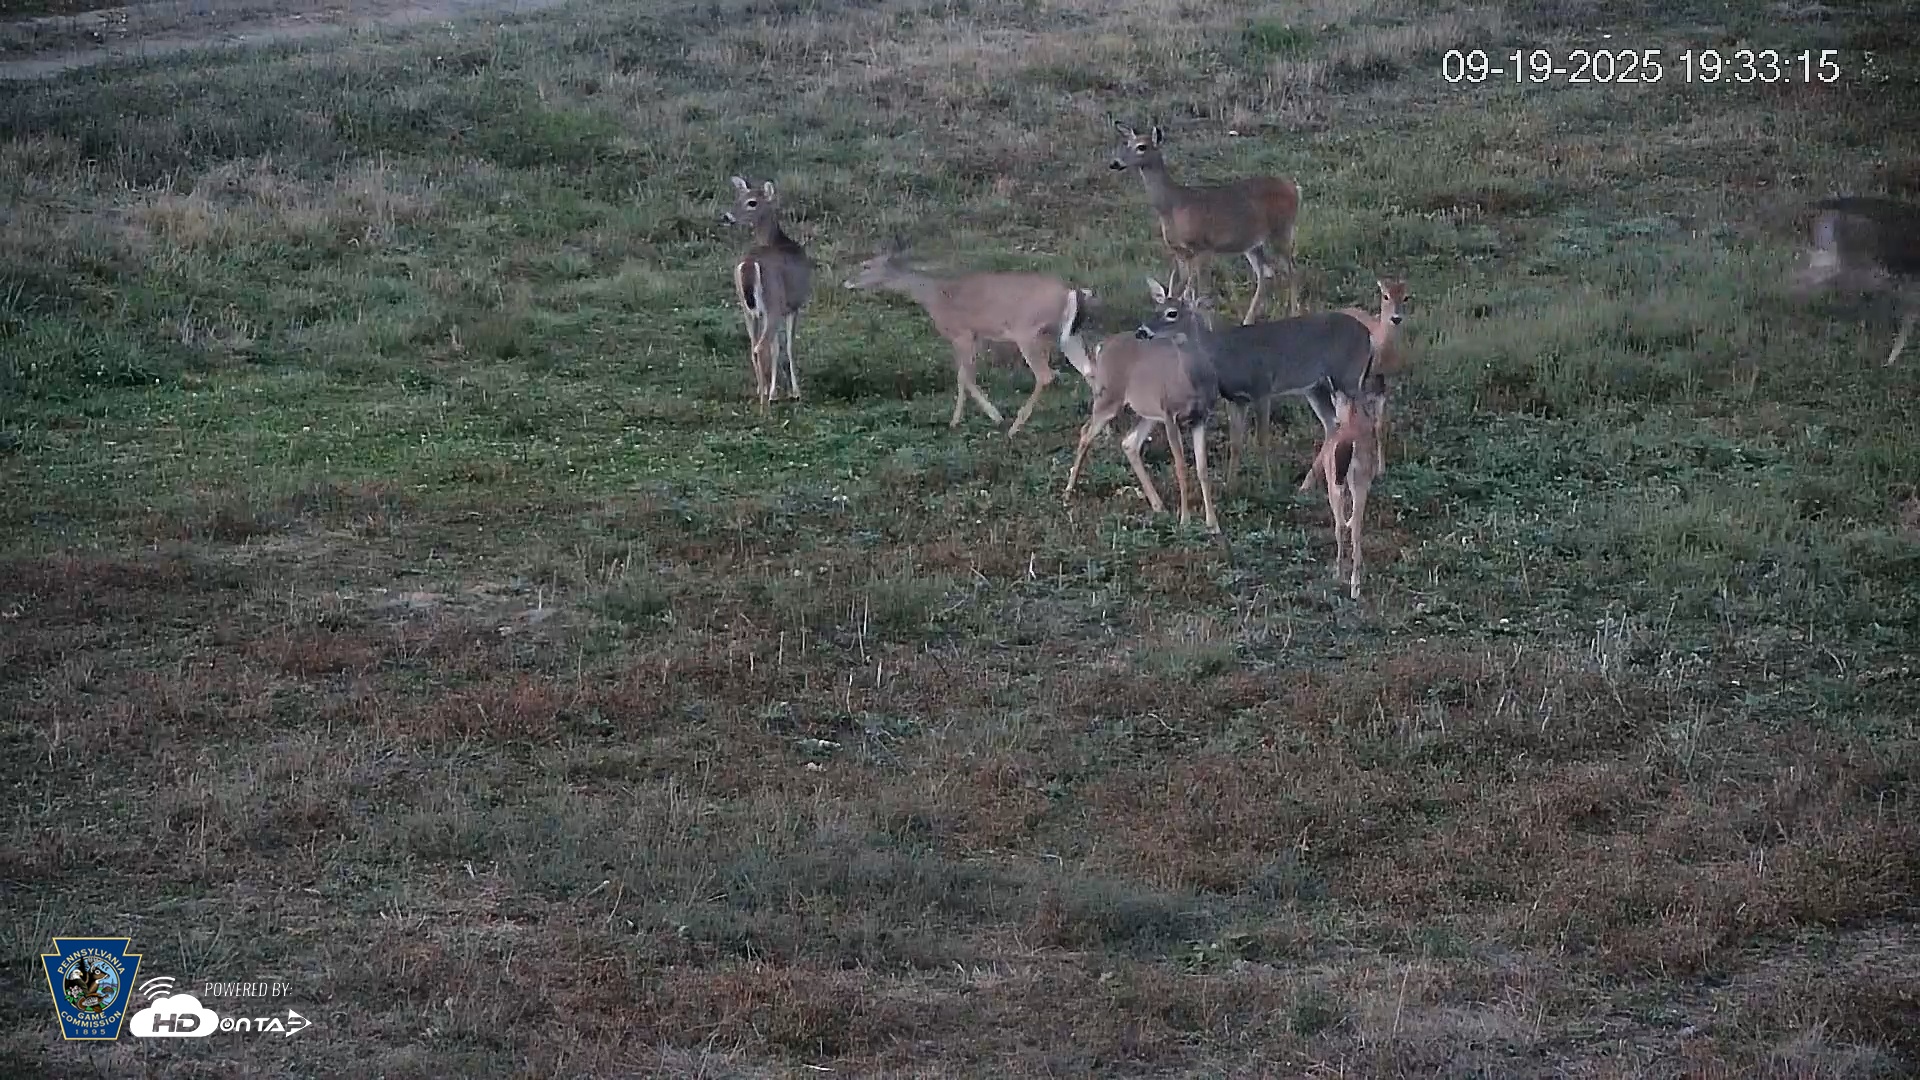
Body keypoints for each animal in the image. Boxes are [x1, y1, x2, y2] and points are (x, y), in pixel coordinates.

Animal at [722, 175, 813, 407]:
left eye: (751, 202)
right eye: (739, 198)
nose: (726, 216)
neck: (778, 240)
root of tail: (749, 264)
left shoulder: (765, 312)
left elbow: (777, 347)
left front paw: (771, 388)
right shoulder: (792, 306)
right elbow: (787, 346)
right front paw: (793, 392)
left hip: (747, 309)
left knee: (753, 345)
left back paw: (761, 391)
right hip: (773, 303)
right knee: (761, 346)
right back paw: (766, 401)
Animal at [842, 241, 1095, 436]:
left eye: (866, 265)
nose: (847, 281)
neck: (934, 296)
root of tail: (1070, 293)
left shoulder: (961, 333)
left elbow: (963, 376)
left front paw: (991, 416)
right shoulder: (978, 336)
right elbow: (964, 375)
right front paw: (959, 420)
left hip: (1027, 332)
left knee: (1045, 375)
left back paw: (1015, 427)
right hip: (1066, 335)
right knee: (1088, 370)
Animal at [1063, 278, 1221, 533]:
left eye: (1171, 312)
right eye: (1156, 307)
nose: (1142, 331)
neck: (1193, 381)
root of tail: (1102, 345)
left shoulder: (1201, 416)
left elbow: (1202, 468)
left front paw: (1213, 524)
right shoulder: (1170, 414)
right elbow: (1180, 466)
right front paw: (1185, 520)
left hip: (1146, 412)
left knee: (1129, 443)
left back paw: (1158, 505)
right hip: (1109, 396)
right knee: (1086, 432)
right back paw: (1068, 492)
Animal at [1109, 120, 1303, 326]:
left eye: (1142, 147)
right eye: (1127, 144)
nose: (1115, 163)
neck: (1172, 206)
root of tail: (1294, 188)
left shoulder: (1203, 247)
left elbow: (1201, 294)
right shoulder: (1180, 252)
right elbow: (1181, 291)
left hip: (1282, 230)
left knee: (1291, 271)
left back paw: (1294, 313)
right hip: (1252, 244)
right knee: (1266, 275)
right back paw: (1247, 321)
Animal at [1310, 384, 1387, 600]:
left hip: (1334, 485)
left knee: (1339, 525)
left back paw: (1338, 574)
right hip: (1358, 483)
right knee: (1355, 527)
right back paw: (1355, 587)